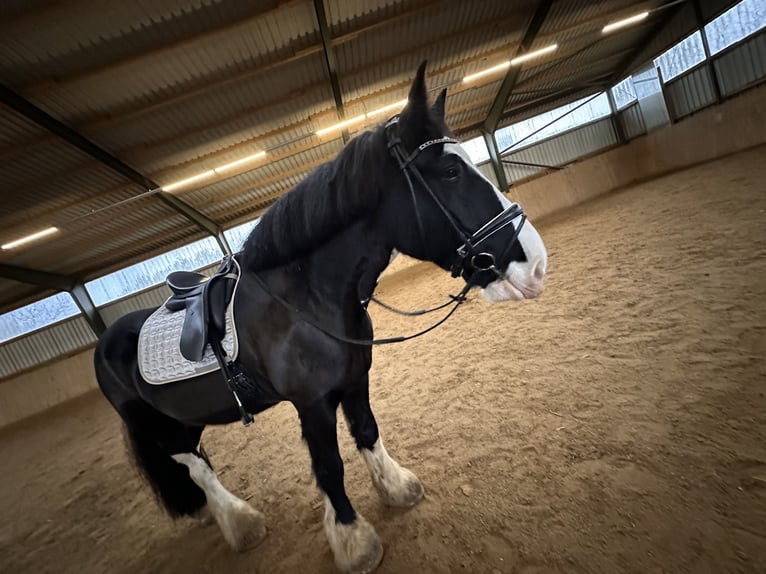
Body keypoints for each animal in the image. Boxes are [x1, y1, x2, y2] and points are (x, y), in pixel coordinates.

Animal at [96, 63, 548, 574]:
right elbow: (329, 467)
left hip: (186, 416)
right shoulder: (311, 404)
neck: (306, 301)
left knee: (196, 465)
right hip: (157, 426)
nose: (535, 264)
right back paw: (241, 524)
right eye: (450, 171)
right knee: (190, 464)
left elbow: (367, 433)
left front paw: (397, 490)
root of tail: (105, 341)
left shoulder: (354, 380)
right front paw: (354, 541)